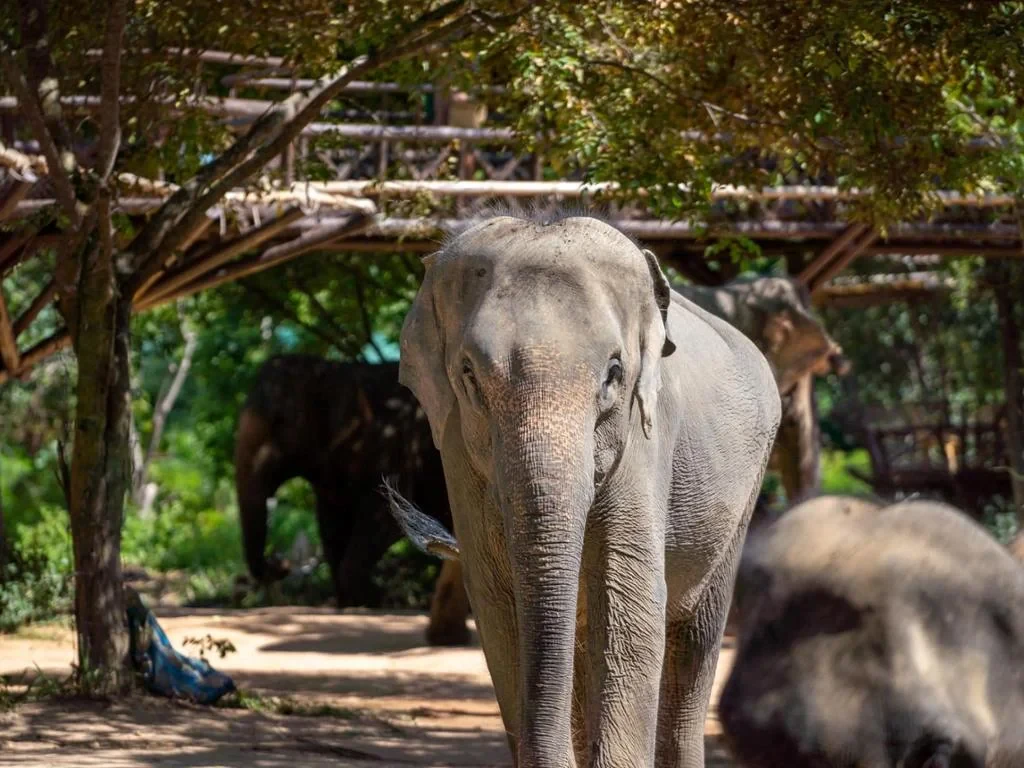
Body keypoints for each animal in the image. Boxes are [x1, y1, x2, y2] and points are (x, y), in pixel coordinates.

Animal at [234, 354, 456, 614]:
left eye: (280, 420)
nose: (280, 562)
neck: (335, 368)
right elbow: (331, 529)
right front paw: (351, 604)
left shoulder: (393, 451)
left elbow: (386, 519)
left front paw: (374, 599)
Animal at [385, 212, 781, 767]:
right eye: (468, 375)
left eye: (614, 372)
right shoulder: (458, 450)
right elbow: (497, 604)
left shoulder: (643, 436)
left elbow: (631, 602)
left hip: (744, 493)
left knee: (695, 638)